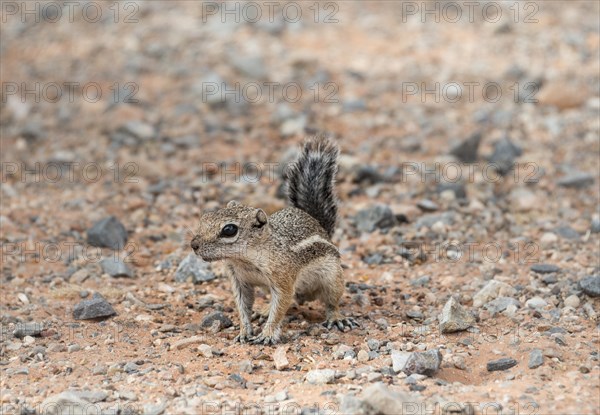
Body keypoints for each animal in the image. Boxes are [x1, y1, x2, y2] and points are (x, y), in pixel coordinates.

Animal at [191, 136, 356, 344]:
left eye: (229, 230)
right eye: (205, 217)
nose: (193, 245)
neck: (245, 260)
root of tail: (319, 225)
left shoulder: (282, 278)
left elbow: (280, 306)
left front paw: (267, 334)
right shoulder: (239, 281)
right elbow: (243, 306)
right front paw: (244, 331)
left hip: (333, 277)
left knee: (332, 302)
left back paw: (336, 318)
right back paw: (263, 310)